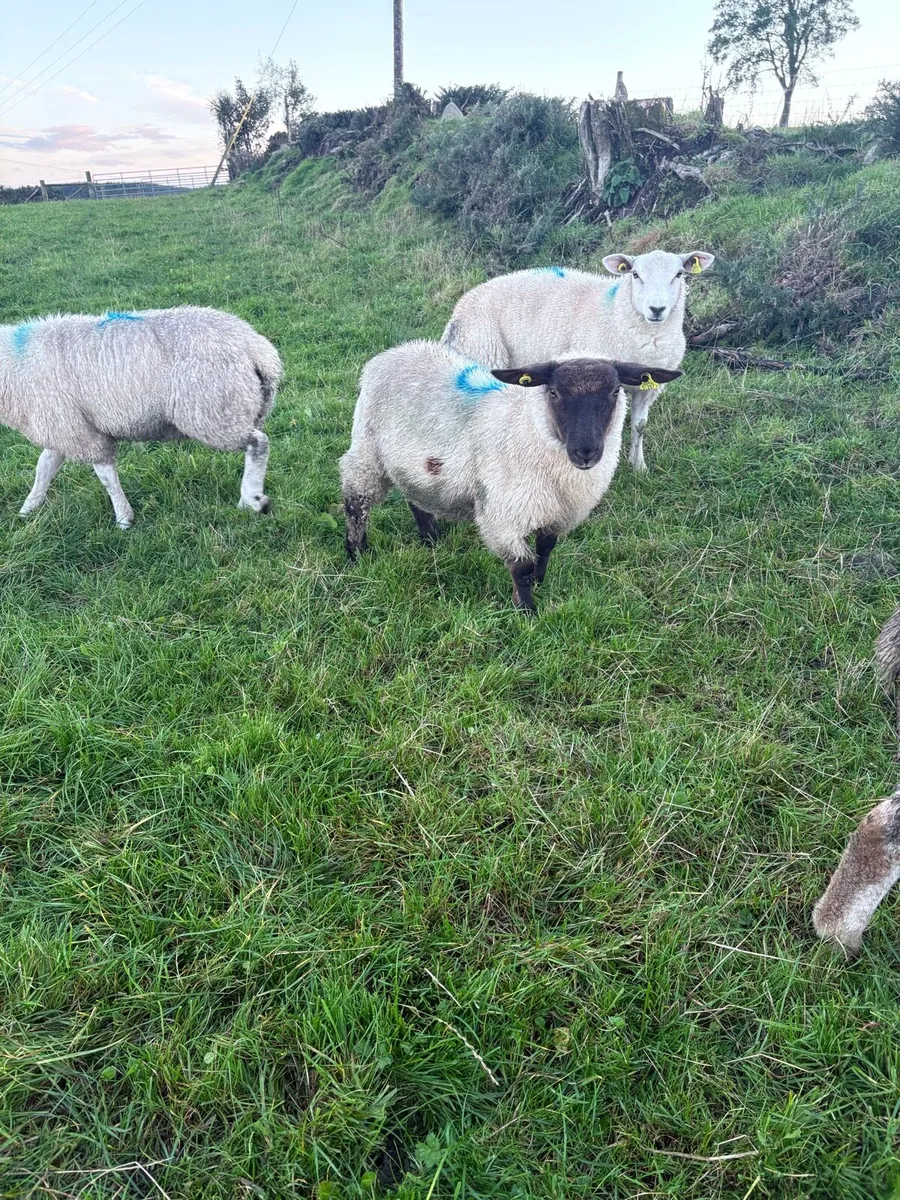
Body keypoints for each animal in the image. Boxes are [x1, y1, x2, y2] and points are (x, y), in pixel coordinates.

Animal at [1, 306, 283, 529]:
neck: (13, 365)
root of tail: (255, 348)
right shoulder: (63, 426)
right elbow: (44, 467)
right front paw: (28, 509)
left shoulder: (76, 430)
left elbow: (105, 476)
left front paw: (124, 518)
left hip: (212, 411)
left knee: (259, 443)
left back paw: (252, 500)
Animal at [339, 340, 682, 612]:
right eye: (553, 392)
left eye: (614, 391)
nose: (586, 452)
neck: (526, 426)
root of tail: (393, 352)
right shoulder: (502, 516)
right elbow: (522, 566)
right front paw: (527, 611)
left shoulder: (555, 512)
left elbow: (545, 549)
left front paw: (542, 582)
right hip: (367, 452)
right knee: (356, 502)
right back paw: (358, 553)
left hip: (416, 463)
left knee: (416, 496)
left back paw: (431, 539)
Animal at [441, 250, 714, 472]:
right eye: (636, 274)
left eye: (679, 274)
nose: (656, 309)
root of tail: (460, 307)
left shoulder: (649, 387)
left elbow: (640, 426)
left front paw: (638, 466)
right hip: (484, 353)